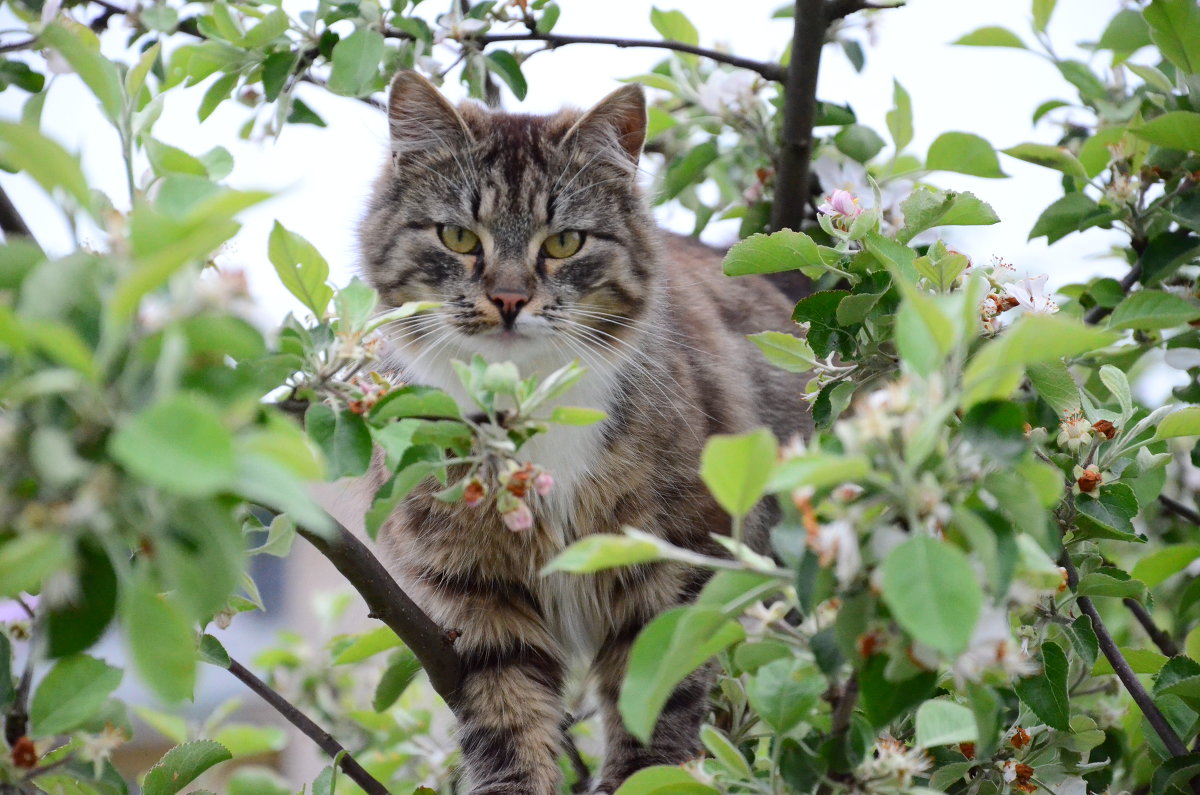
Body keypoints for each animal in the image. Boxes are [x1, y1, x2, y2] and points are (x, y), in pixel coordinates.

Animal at [355, 71, 806, 792]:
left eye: (564, 242)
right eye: (458, 237)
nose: (509, 299)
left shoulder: (676, 561)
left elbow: (657, 705)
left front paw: (644, 776)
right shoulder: (480, 599)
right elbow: (510, 726)